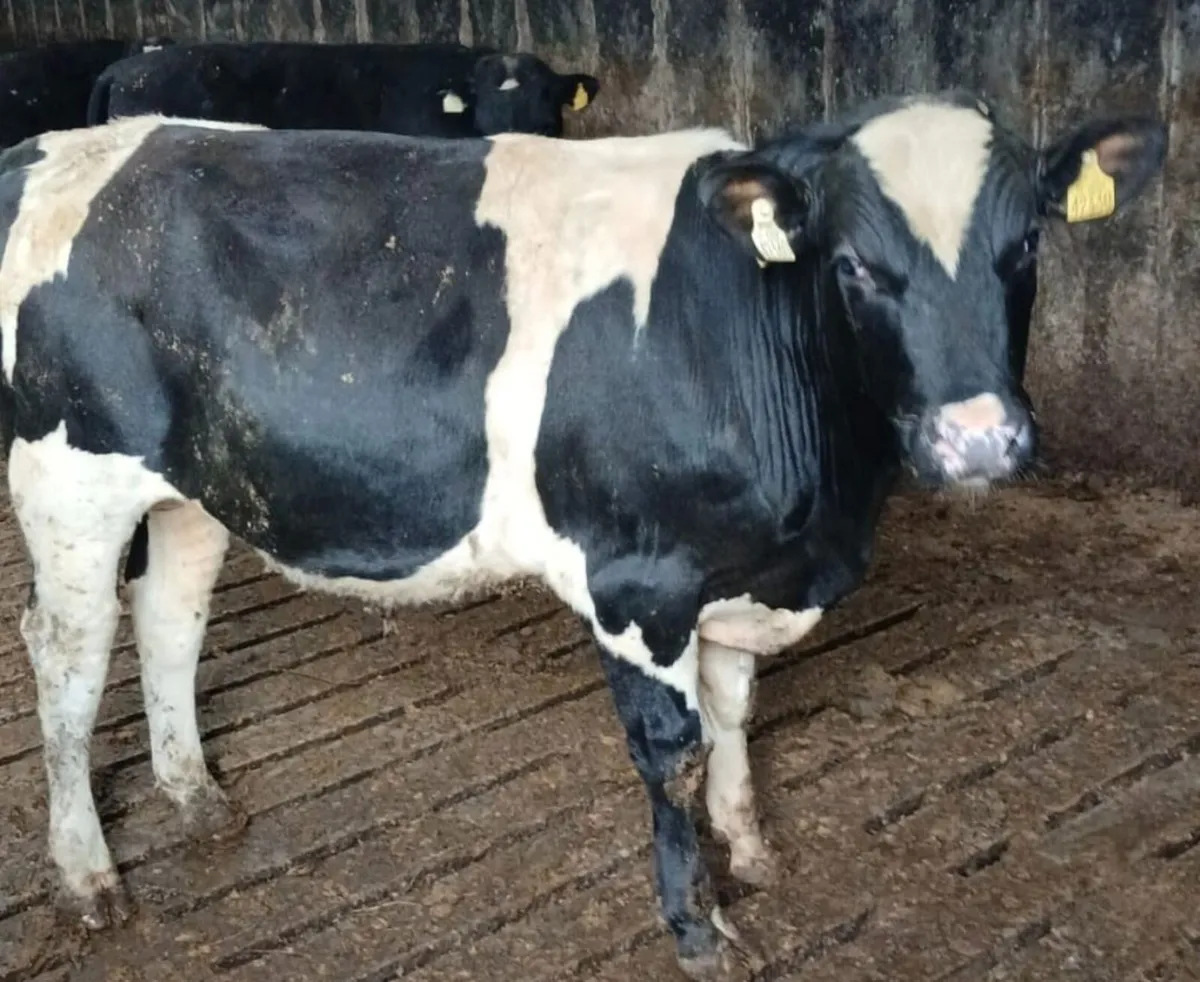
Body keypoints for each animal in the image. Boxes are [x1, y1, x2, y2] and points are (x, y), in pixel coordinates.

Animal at [0, 92, 1165, 977]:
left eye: (1025, 246)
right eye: (856, 266)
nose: (979, 438)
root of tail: (61, 144)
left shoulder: (736, 576)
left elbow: (735, 717)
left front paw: (751, 846)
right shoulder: (640, 584)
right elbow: (675, 757)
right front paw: (699, 923)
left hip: (190, 486)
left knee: (170, 616)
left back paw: (196, 797)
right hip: (68, 478)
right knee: (67, 658)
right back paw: (87, 874)